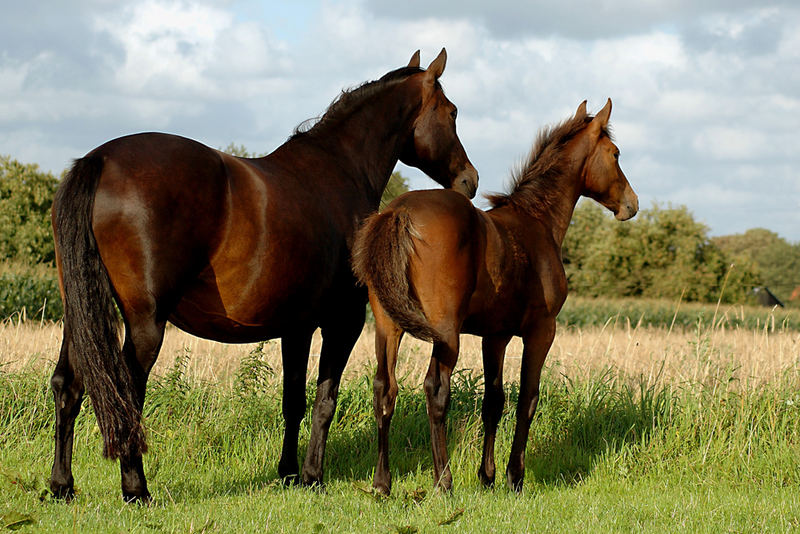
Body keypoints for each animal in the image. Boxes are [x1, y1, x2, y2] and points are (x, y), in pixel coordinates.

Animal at [53, 49, 478, 502]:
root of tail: (101, 160)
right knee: (126, 393)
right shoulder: (342, 322)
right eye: (452, 112)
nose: (469, 180)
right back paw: (136, 488)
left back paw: (61, 484)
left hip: (78, 316)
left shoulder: (296, 327)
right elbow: (325, 400)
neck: (339, 170)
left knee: (68, 385)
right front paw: (312, 476)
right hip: (145, 325)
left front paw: (289, 472)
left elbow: (293, 401)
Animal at [354, 99, 640, 494]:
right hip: (445, 332)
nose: (631, 204)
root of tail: (398, 212)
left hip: (387, 325)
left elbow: (494, 401)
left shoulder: (496, 336)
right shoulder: (541, 332)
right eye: (615, 154)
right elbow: (526, 400)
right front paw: (513, 476)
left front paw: (486, 476)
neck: (537, 222)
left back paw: (383, 482)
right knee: (435, 389)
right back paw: (443, 481)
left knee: (385, 387)